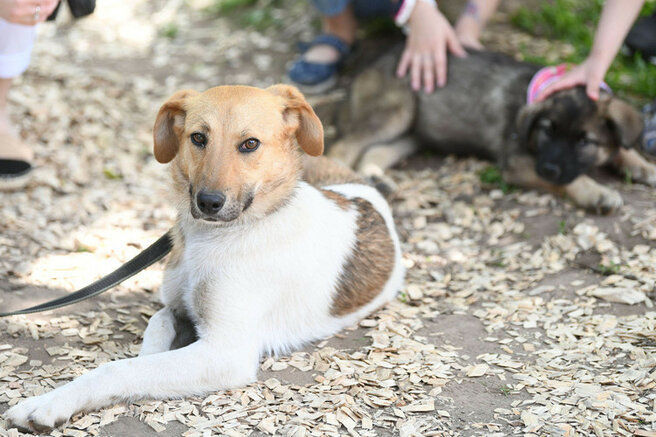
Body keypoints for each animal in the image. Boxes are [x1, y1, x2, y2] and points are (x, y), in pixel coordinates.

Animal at [6, 85, 404, 430]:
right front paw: (149, 358)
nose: (208, 202)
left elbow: (118, 369)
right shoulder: (175, 308)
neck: (217, 238)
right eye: (198, 138)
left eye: (250, 143)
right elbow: (154, 333)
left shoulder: (225, 351)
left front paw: (48, 403)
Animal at [330, 47, 652, 211]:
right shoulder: (519, 163)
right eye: (547, 131)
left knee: (375, 150)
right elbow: (570, 180)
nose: (548, 169)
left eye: (585, 142)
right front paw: (597, 194)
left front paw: (646, 167)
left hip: (412, 133)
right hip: (398, 110)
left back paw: (375, 178)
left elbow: (622, 148)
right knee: (343, 147)